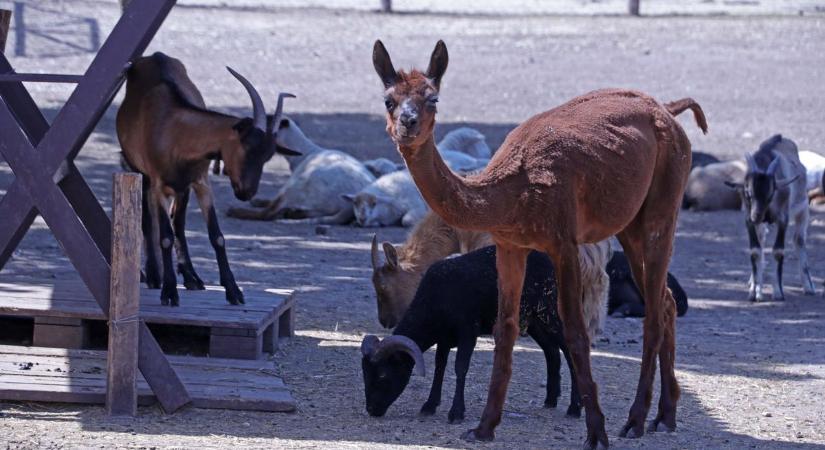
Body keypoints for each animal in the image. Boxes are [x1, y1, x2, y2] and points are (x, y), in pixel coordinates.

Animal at [114, 52, 298, 306]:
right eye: (247, 146)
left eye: (268, 156)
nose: (247, 192)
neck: (175, 131)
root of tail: (152, 56)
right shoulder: (159, 185)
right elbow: (165, 237)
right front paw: (169, 292)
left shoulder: (200, 183)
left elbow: (216, 236)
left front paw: (233, 290)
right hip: (140, 172)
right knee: (149, 220)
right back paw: (154, 276)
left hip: (182, 189)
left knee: (178, 223)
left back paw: (191, 277)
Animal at [225, 118, 374, 223]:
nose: (237, 126)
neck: (306, 152)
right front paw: (259, 201)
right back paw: (289, 212)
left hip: (294, 187)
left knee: (268, 214)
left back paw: (234, 210)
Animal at [360, 246, 580, 422]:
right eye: (365, 373)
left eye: (383, 375)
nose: (371, 410)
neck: (435, 299)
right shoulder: (444, 337)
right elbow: (440, 367)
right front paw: (430, 405)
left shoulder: (468, 331)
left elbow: (460, 367)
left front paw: (456, 413)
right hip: (533, 320)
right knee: (551, 351)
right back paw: (550, 400)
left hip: (550, 311)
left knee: (570, 351)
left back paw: (575, 408)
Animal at [724, 134, 816, 302]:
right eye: (748, 193)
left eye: (771, 194)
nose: (756, 216)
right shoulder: (748, 219)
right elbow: (755, 251)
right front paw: (754, 292)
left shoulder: (783, 219)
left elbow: (778, 251)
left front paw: (778, 292)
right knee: (761, 241)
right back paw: (754, 283)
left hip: (803, 210)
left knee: (799, 240)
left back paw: (808, 286)